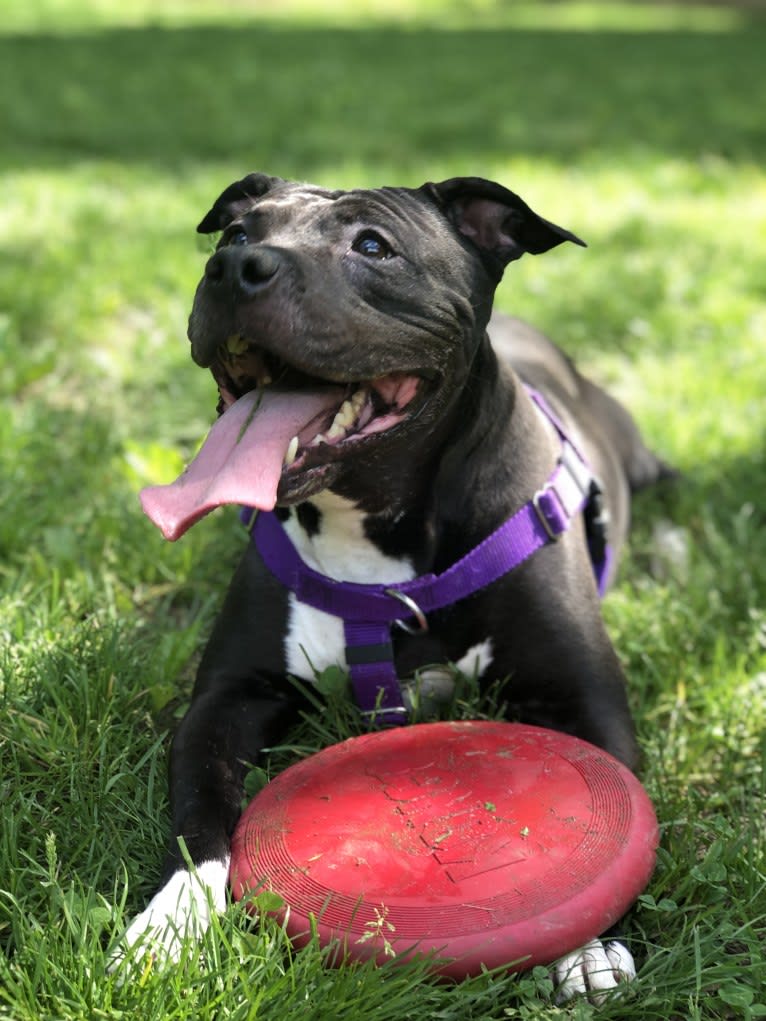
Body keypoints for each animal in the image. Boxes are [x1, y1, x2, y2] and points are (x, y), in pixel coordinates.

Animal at [121, 173, 669, 996]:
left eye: (373, 246)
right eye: (237, 233)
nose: (233, 269)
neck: (373, 543)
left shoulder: (582, 700)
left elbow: (612, 823)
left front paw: (588, 943)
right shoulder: (227, 699)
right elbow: (201, 811)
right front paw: (173, 919)